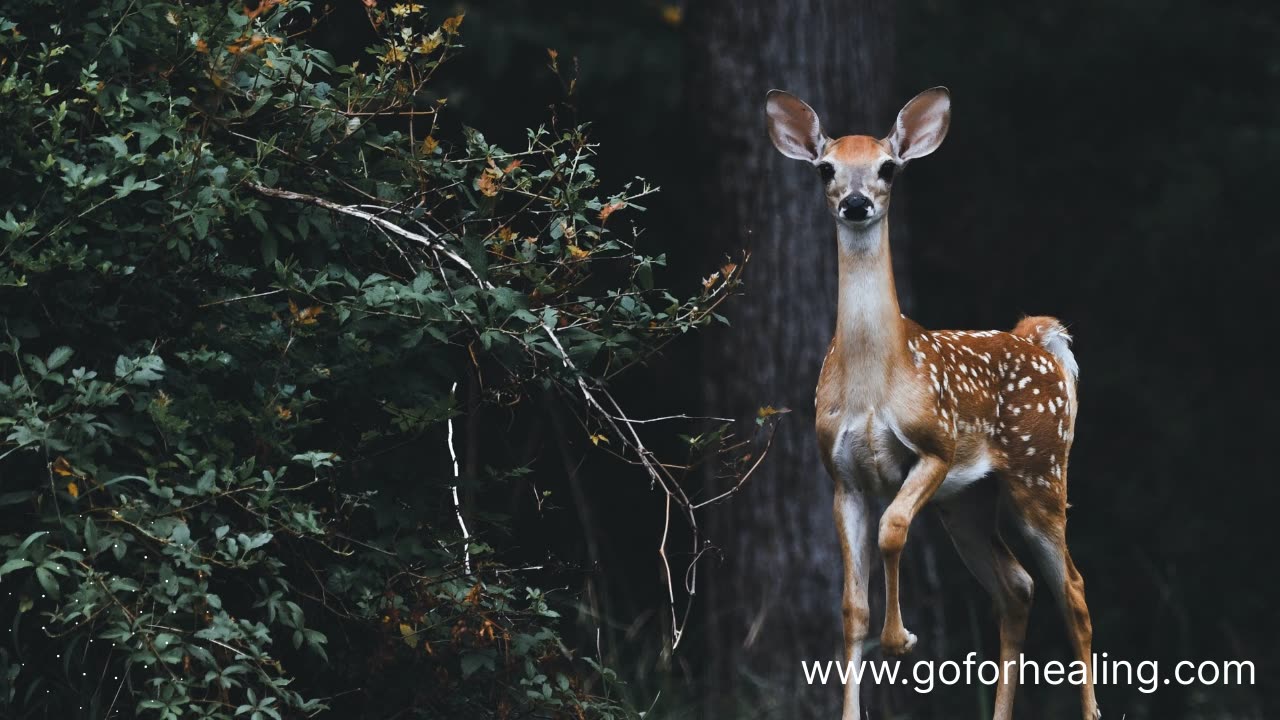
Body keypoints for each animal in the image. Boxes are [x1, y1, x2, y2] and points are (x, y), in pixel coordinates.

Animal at [768, 85, 1100, 717]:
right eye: (826, 168)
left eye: (887, 168)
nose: (855, 203)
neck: (875, 382)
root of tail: (1037, 339)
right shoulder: (841, 475)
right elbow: (851, 608)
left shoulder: (935, 446)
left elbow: (893, 528)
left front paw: (902, 638)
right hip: (967, 501)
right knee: (1016, 587)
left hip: (1041, 471)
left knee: (1072, 588)